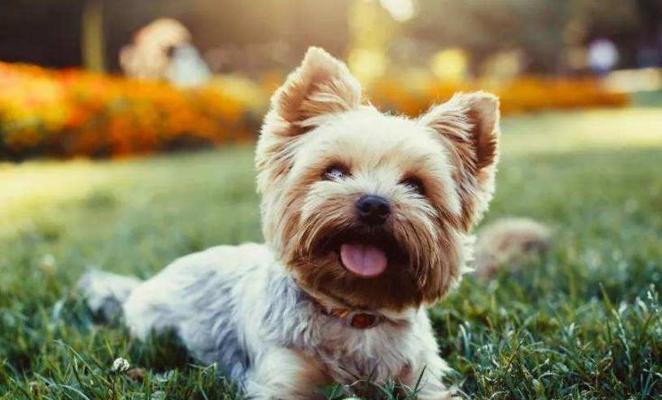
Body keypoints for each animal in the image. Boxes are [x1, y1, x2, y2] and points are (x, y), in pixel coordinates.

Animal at [81, 48, 548, 398]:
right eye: (333, 171)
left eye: (415, 185)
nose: (374, 205)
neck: (354, 313)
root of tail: (143, 284)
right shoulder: (284, 377)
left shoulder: (421, 378)